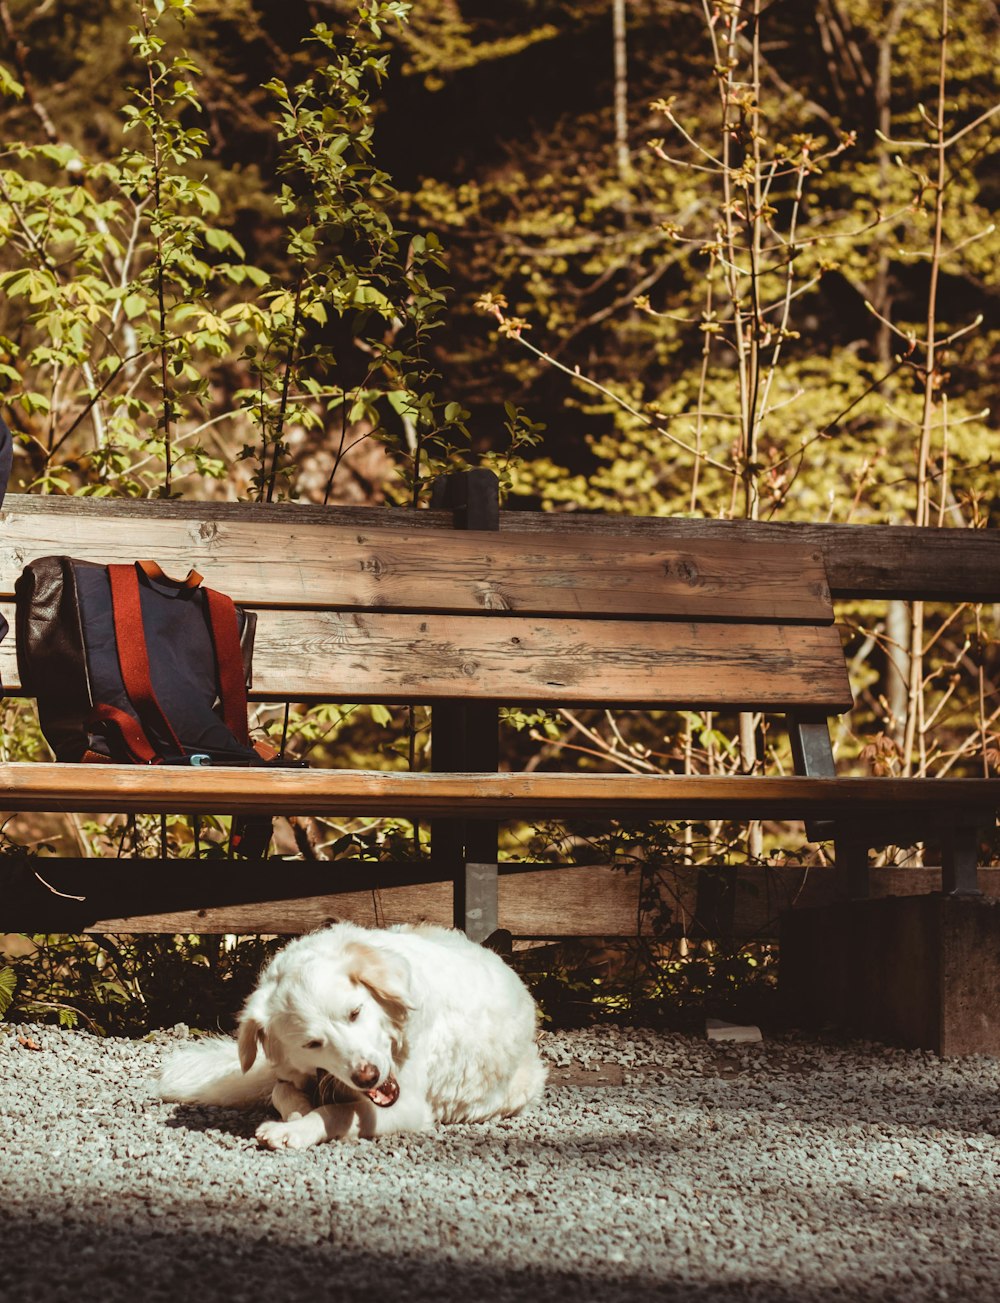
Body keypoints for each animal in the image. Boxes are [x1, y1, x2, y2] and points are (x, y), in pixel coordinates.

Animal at [156, 917, 547, 1151]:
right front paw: (297, 1114)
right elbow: (286, 1094)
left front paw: (295, 1129)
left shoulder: (408, 1107)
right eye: (313, 1044)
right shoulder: (292, 1076)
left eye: (355, 1013)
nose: (368, 1076)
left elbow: (335, 1113)